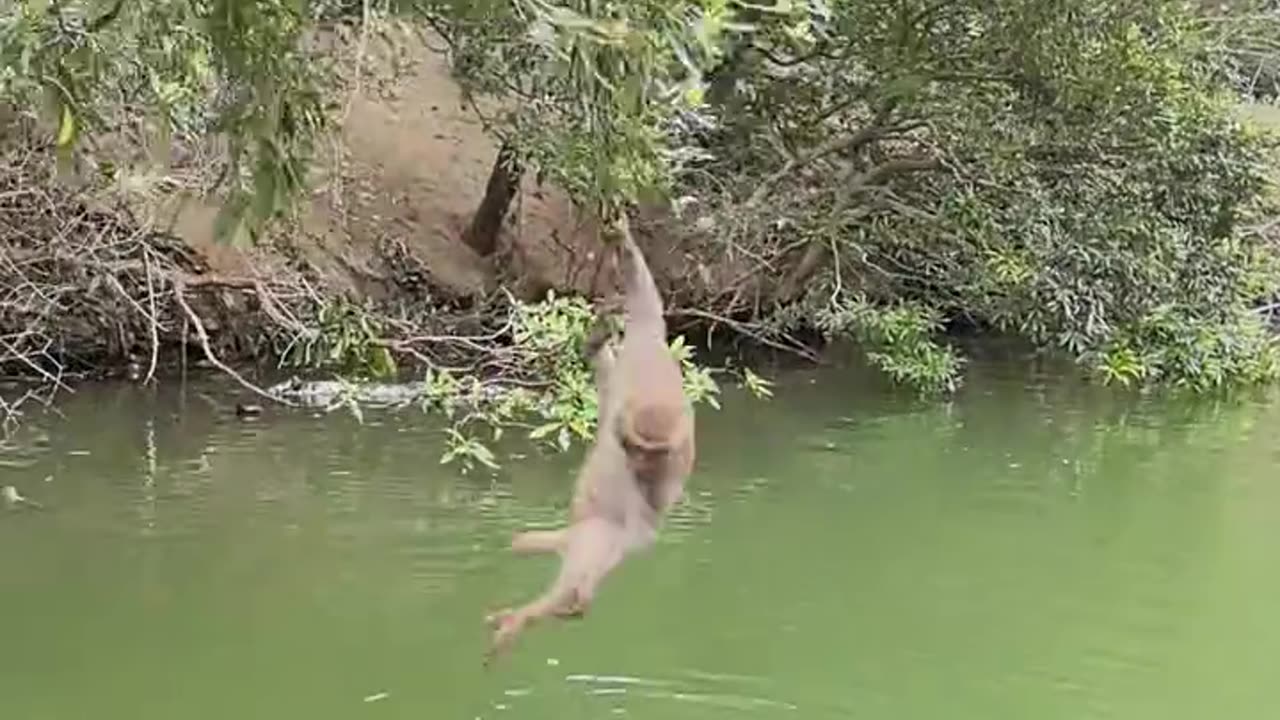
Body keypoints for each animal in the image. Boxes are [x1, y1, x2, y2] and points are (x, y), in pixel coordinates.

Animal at [484, 216, 696, 663]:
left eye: (650, 452)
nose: (640, 457)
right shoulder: (636, 366)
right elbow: (640, 307)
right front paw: (619, 236)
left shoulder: (670, 448)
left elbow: (657, 497)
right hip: (584, 535)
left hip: (597, 538)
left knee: (581, 573)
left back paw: (535, 614)